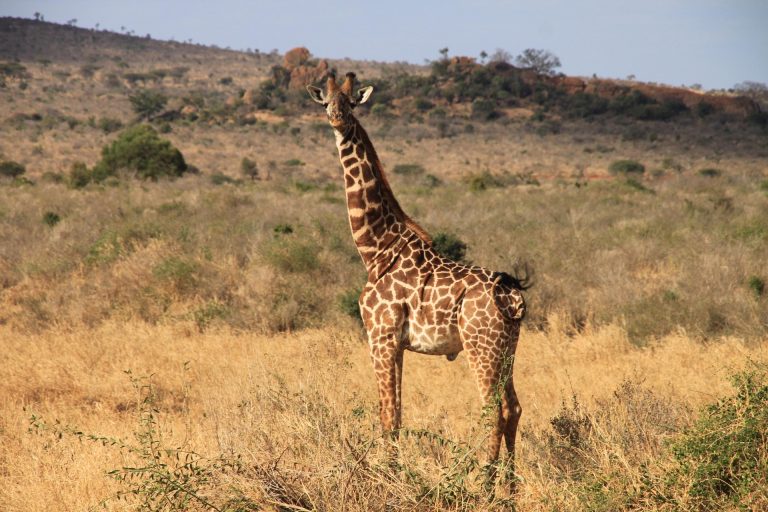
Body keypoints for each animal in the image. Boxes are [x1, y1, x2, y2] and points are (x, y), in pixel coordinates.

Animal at [307, 73, 528, 487]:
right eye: (326, 102)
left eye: (351, 103)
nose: (338, 121)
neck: (376, 249)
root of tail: (512, 295)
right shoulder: (397, 343)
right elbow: (396, 412)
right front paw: (393, 471)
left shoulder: (379, 336)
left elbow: (387, 415)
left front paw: (388, 477)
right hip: (507, 349)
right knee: (514, 408)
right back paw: (508, 486)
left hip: (481, 347)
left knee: (494, 410)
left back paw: (484, 484)